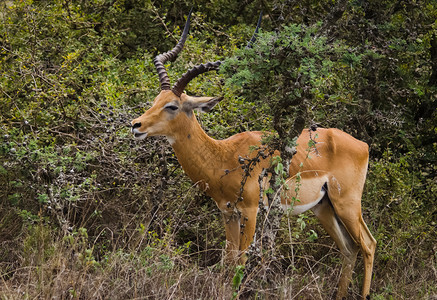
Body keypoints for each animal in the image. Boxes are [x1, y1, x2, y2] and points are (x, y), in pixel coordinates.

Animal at [129, 10, 374, 298]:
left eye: (172, 106)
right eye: (156, 100)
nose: (136, 125)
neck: (224, 156)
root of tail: (362, 145)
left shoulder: (251, 210)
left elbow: (242, 259)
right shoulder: (227, 212)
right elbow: (229, 258)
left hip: (347, 204)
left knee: (368, 245)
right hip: (324, 208)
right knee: (349, 249)